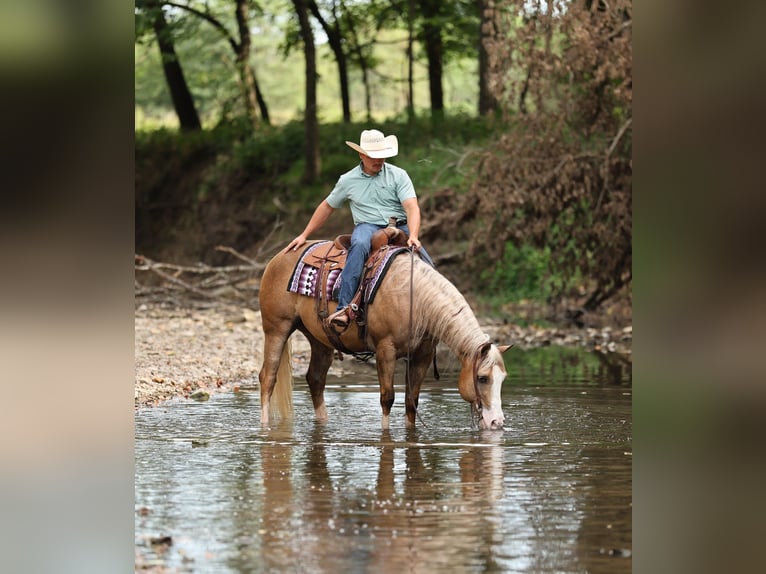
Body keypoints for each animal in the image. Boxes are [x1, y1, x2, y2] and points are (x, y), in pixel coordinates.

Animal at [258, 240, 511, 430]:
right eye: (482, 378)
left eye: (503, 379)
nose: (497, 422)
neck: (414, 298)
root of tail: (279, 256)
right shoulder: (385, 351)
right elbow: (387, 398)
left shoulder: (422, 355)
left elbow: (411, 401)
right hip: (276, 329)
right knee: (268, 378)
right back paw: (264, 425)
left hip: (320, 340)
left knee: (315, 379)